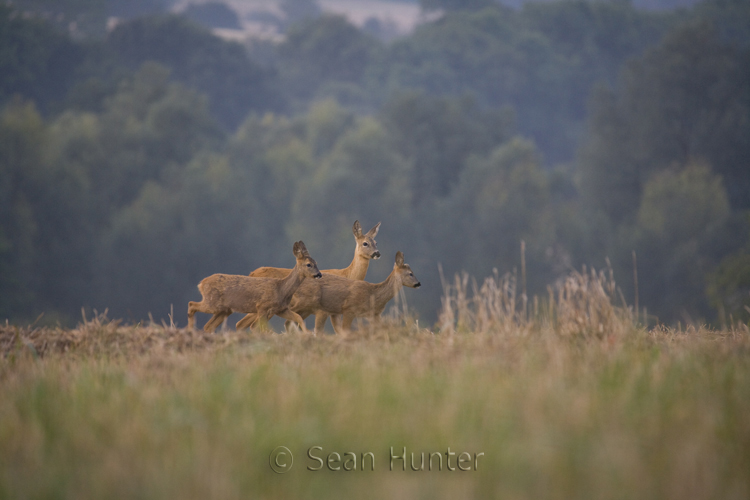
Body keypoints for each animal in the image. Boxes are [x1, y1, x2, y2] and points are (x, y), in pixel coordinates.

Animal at [187, 241, 322, 333]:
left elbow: (298, 318)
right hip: (212, 303)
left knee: (208, 326)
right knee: (191, 304)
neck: (281, 289)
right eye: (308, 264)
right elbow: (259, 328)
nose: (319, 274)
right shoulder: (261, 307)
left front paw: (308, 334)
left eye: (316, 263)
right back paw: (190, 330)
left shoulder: (280, 309)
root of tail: (201, 283)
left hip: (224, 310)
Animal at [238, 251, 420, 335]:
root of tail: (251, 273)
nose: (419, 283)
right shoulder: (348, 309)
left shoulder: (373, 315)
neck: (373, 294)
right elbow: (344, 331)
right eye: (410, 273)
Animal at [241, 220, 381, 332]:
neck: (347, 274)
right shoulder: (325, 310)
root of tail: (252, 273)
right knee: (250, 325)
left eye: (376, 242)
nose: (377, 253)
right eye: (365, 243)